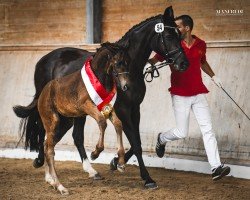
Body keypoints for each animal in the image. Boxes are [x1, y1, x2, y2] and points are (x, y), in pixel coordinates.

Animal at [38, 43, 131, 195]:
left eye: (128, 62)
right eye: (118, 63)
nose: (125, 86)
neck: (99, 78)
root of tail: (42, 93)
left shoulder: (108, 107)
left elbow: (118, 124)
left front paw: (121, 163)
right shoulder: (86, 106)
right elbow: (102, 122)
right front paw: (95, 153)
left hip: (64, 123)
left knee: (47, 145)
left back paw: (50, 180)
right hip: (52, 121)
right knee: (50, 150)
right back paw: (60, 186)